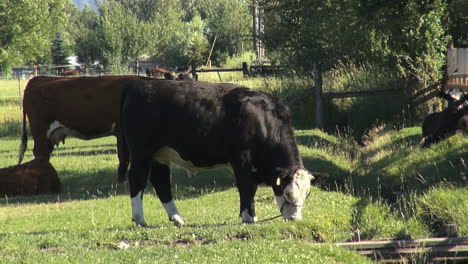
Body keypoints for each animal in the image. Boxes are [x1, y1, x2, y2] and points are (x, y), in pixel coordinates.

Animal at [18, 74, 149, 182]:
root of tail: (37, 79)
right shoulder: (121, 132)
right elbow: (124, 158)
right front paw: (122, 182)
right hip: (40, 131)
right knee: (40, 154)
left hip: (49, 135)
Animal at [120, 79, 326, 226]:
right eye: (288, 193)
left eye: (307, 194)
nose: (294, 219)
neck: (263, 120)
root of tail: (142, 84)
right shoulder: (242, 160)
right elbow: (245, 186)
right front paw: (249, 217)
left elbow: (251, 188)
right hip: (142, 152)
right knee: (137, 178)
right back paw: (140, 219)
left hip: (160, 155)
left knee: (160, 182)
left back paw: (177, 218)